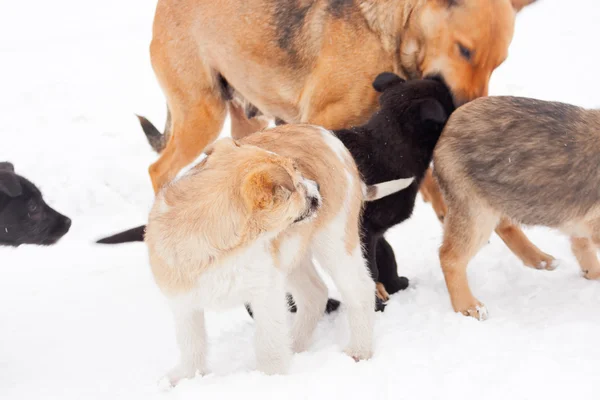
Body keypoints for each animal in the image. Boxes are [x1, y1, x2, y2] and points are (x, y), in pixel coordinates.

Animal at [148, 125, 414, 384]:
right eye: (293, 186)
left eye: (297, 169)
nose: (317, 186)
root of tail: (328, 137)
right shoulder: (184, 304)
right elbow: (191, 344)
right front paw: (186, 377)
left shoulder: (266, 292)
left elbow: (269, 344)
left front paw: (271, 380)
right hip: (293, 256)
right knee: (315, 294)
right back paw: (295, 347)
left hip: (335, 242)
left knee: (359, 289)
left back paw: (359, 350)